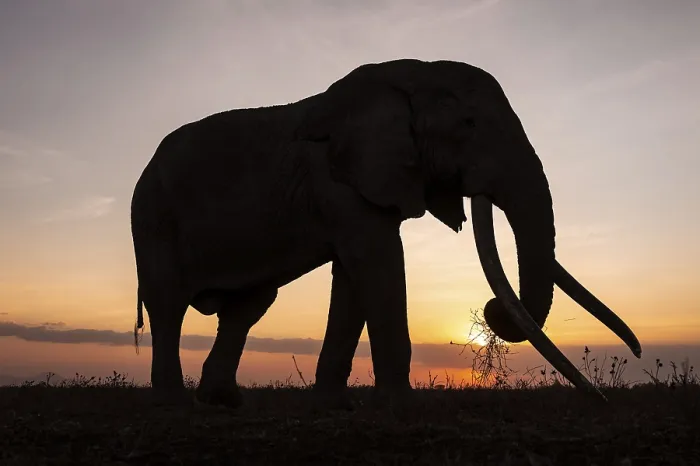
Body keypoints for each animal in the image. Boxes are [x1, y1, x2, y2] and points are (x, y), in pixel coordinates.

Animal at [130, 59, 642, 408]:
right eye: (469, 124)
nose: (603, 400)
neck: (409, 74)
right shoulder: (338, 180)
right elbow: (378, 262)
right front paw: (400, 405)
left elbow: (353, 278)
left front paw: (335, 407)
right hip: (152, 217)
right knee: (168, 302)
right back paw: (173, 403)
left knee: (247, 308)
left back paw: (223, 402)